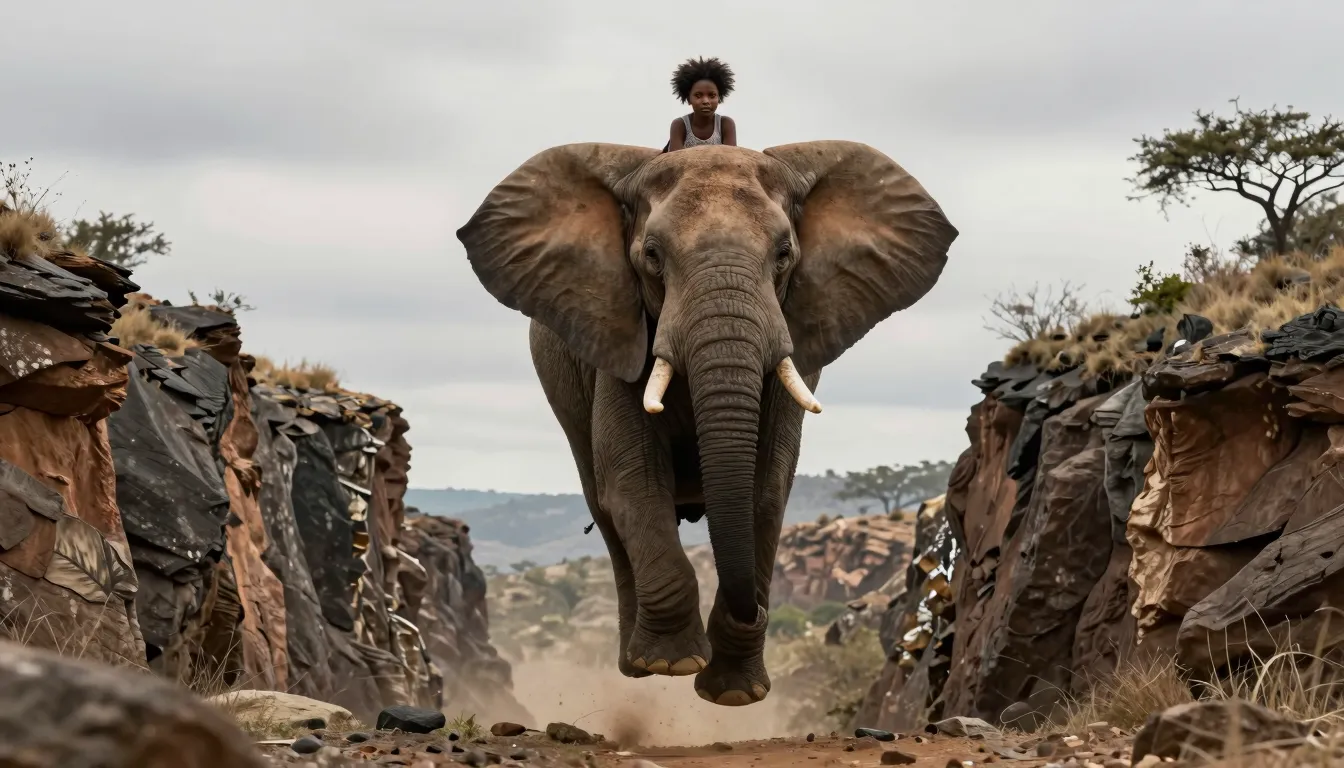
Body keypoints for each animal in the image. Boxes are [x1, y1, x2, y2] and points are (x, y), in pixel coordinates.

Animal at [456, 140, 957, 706]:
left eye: (784, 255)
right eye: (652, 257)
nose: (757, 612)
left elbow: (766, 490)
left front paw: (736, 693)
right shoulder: (619, 338)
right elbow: (633, 484)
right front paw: (671, 663)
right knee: (604, 508)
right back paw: (636, 665)